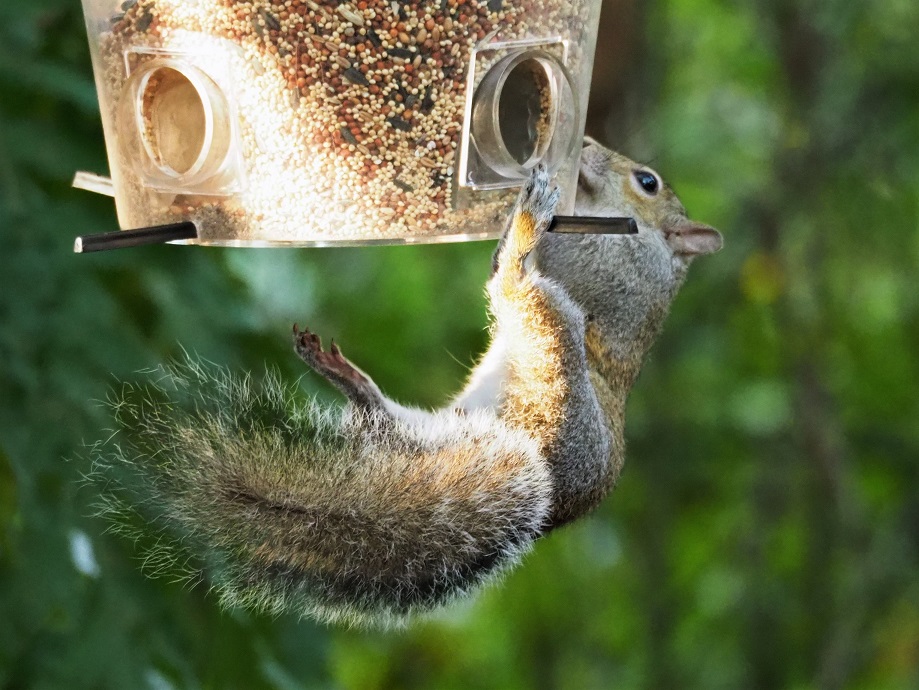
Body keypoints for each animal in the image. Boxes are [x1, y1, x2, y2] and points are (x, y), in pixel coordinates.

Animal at [93, 137, 724, 628]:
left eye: (647, 182)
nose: (586, 142)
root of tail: (548, 477)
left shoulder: (612, 275)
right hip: (437, 424)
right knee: (390, 423)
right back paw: (356, 384)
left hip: (553, 338)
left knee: (516, 288)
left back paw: (525, 225)